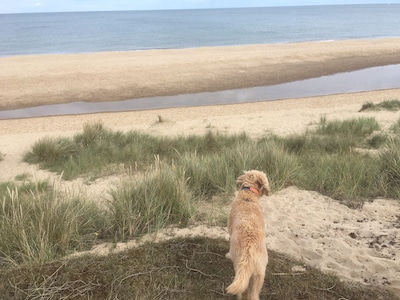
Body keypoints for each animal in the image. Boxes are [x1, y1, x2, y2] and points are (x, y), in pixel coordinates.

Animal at [227, 170, 270, 298]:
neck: (248, 194)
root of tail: (249, 253)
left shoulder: (230, 229)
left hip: (240, 269)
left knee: (244, 292)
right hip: (259, 276)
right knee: (253, 295)